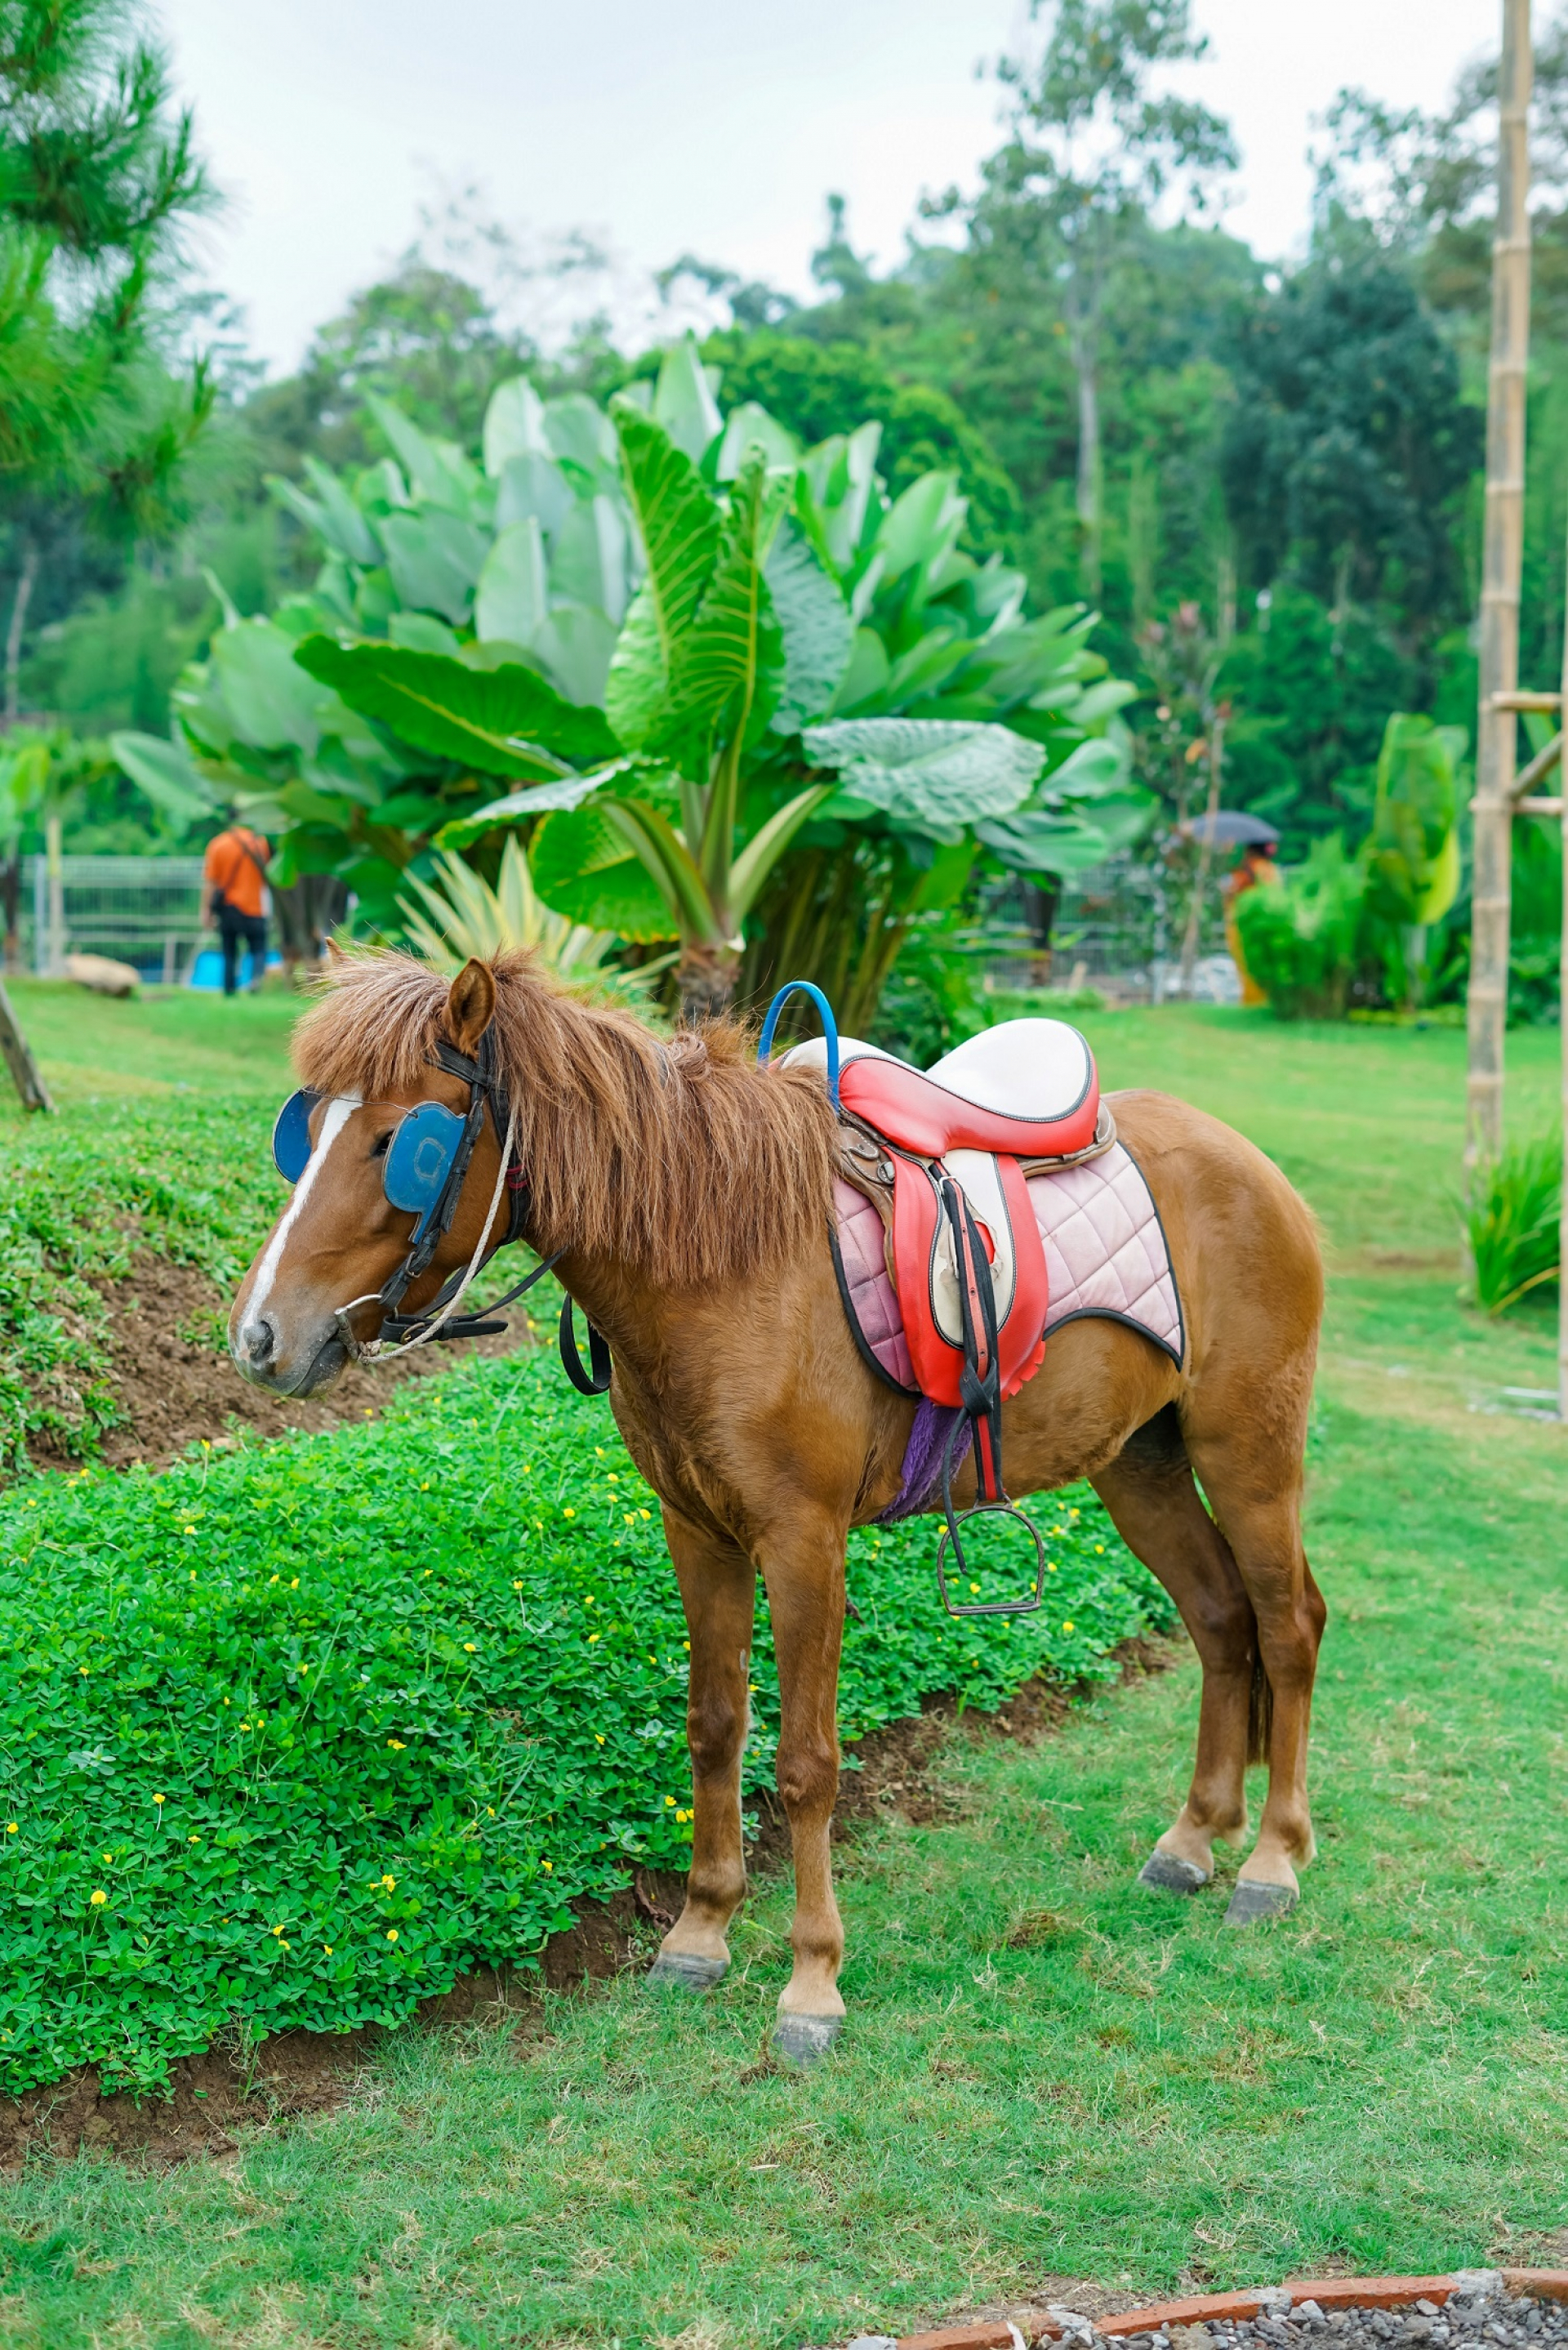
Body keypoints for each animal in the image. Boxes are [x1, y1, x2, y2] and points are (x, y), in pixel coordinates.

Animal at [230, 949, 1325, 2058]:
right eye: (303, 1131)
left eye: (399, 1143)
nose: (261, 1337)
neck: (717, 1259)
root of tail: (1251, 1163)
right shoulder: (698, 1527)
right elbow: (715, 1725)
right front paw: (701, 1931)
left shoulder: (805, 1541)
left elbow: (806, 1762)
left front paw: (812, 1980)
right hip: (1140, 1462)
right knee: (1220, 1618)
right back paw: (1195, 1837)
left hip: (1249, 1450)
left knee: (1287, 1627)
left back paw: (1274, 1859)